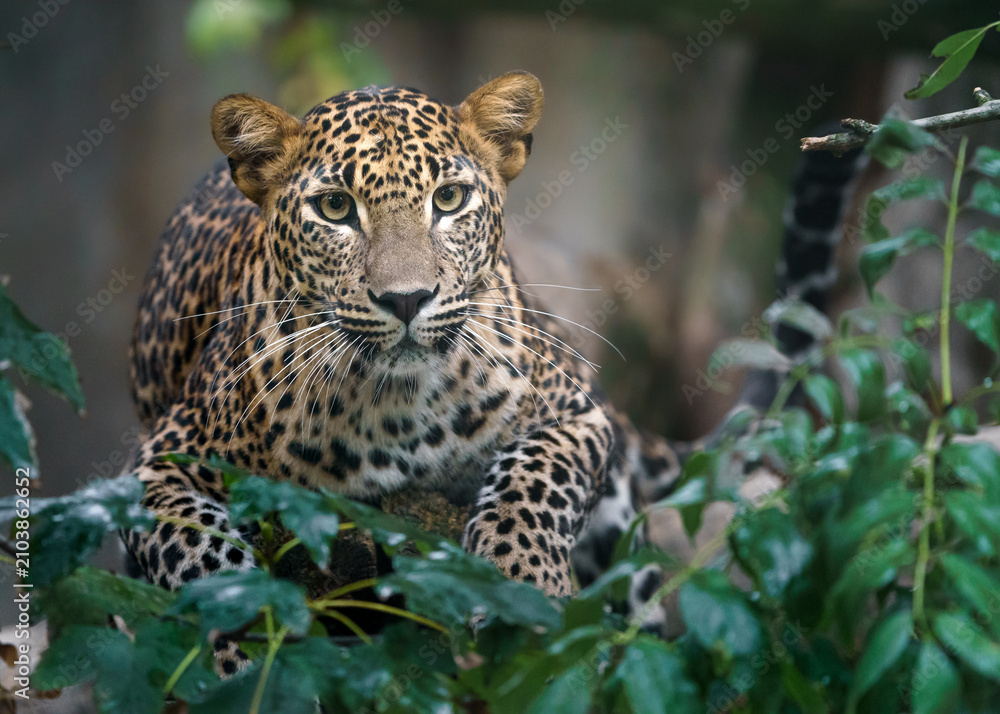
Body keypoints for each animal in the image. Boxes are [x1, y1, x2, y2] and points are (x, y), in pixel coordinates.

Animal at [123, 72, 864, 672]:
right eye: (334, 208)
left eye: (450, 199)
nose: (407, 299)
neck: (394, 406)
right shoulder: (160, 460)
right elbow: (201, 557)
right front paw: (240, 649)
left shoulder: (575, 412)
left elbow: (533, 484)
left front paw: (525, 584)